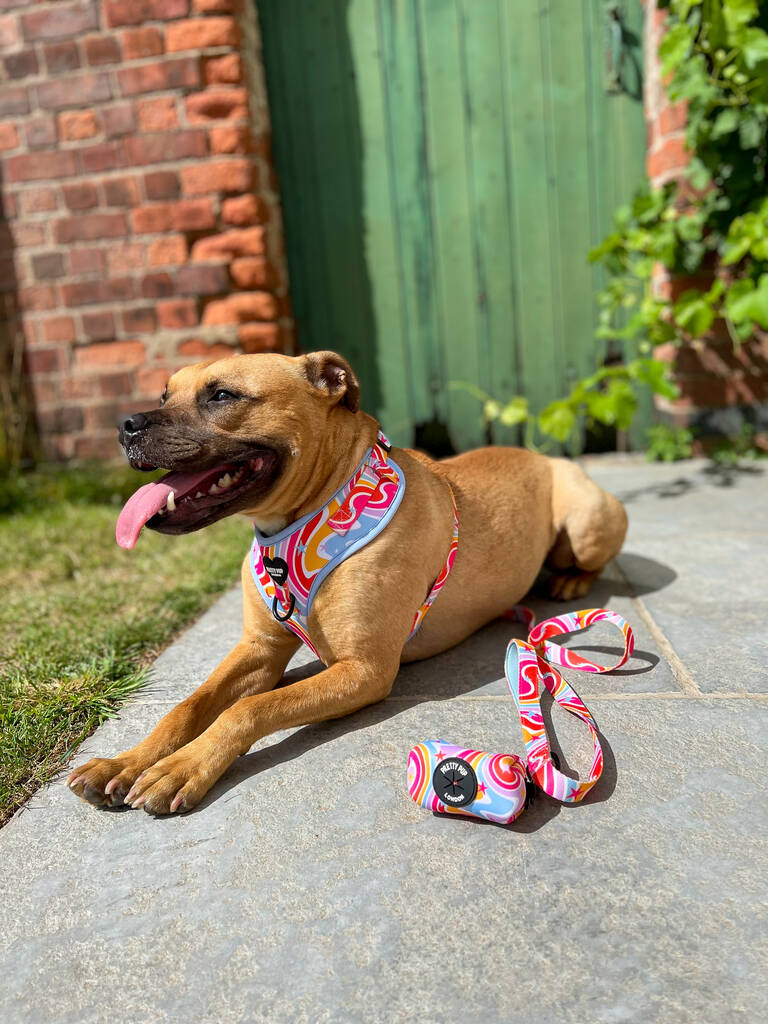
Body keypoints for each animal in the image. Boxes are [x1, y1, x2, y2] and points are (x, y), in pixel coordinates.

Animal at [66, 352, 626, 815]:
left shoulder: (364, 670)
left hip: (587, 522)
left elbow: (250, 708)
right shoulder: (259, 648)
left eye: (222, 395)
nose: (126, 425)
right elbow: (189, 705)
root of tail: (540, 454)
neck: (305, 521)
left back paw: (571, 581)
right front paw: (127, 761)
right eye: (164, 396)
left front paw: (183, 767)